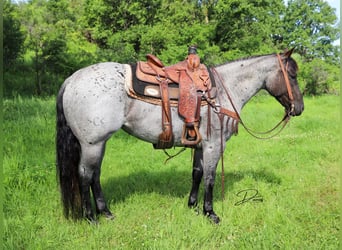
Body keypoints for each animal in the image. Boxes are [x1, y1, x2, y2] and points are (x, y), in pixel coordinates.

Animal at [56, 48, 304, 223]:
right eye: (292, 75)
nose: (299, 108)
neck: (224, 90)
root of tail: (71, 79)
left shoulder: (201, 146)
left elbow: (197, 174)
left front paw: (192, 205)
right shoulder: (214, 145)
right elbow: (210, 178)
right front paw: (210, 213)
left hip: (100, 144)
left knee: (95, 175)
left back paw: (106, 212)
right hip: (92, 143)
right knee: (85, 175)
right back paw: (91, 217)